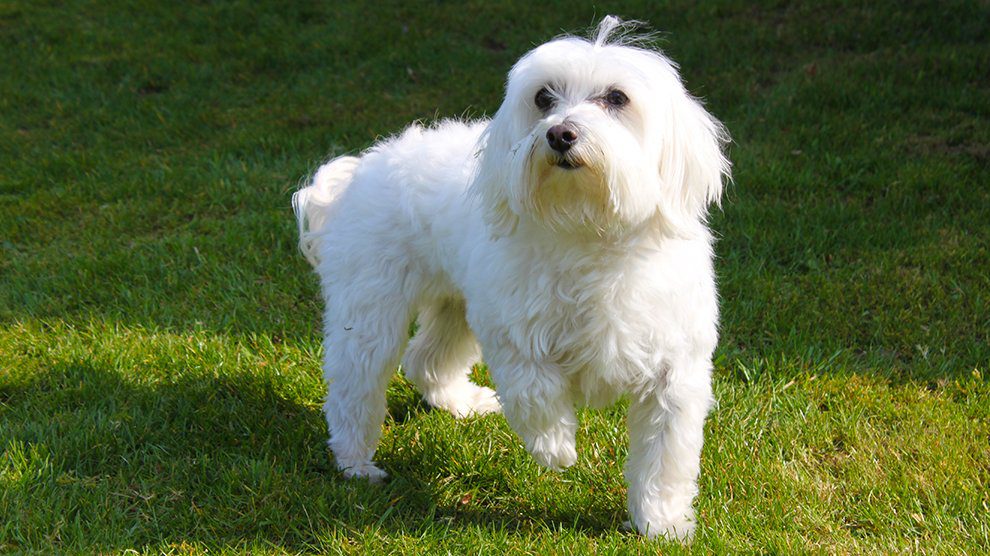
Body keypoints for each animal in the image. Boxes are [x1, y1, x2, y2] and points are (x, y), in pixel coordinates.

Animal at [290, 16, 732, 540]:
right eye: (543, 97)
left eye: (617, 98)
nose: (560, 134)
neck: (588, 229)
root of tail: (359, 170)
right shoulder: (513, 334)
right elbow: (534, 392)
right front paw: (557, 448)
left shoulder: (675, 375)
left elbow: (665, 459)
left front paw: (661, 523)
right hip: (372, 308)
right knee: (355, 385)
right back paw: (356, 463)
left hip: (454, 306)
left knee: (427, 359)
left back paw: (460, 402)